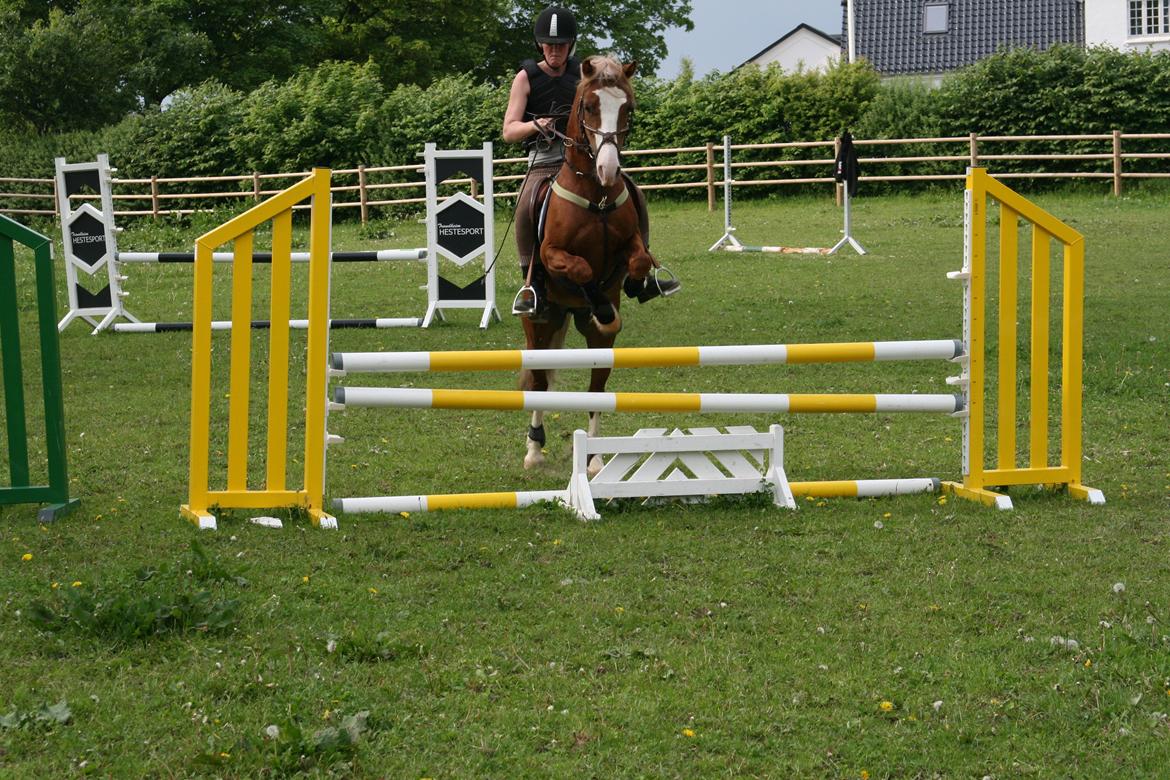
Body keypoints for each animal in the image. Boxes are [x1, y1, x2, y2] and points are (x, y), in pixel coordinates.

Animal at [524, 54, 659, 477]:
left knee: (596, 389)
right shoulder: (552, 255)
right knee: (538, 383)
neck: (595, 195)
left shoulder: (631, 249)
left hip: (598, 349)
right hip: (538, 326)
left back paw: (596, 458)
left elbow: (636, 263)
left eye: (628, 108)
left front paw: (613, 302)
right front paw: (600, 306)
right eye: (588, 107)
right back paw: (533, 450)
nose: (608, 170)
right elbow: (581, 270)